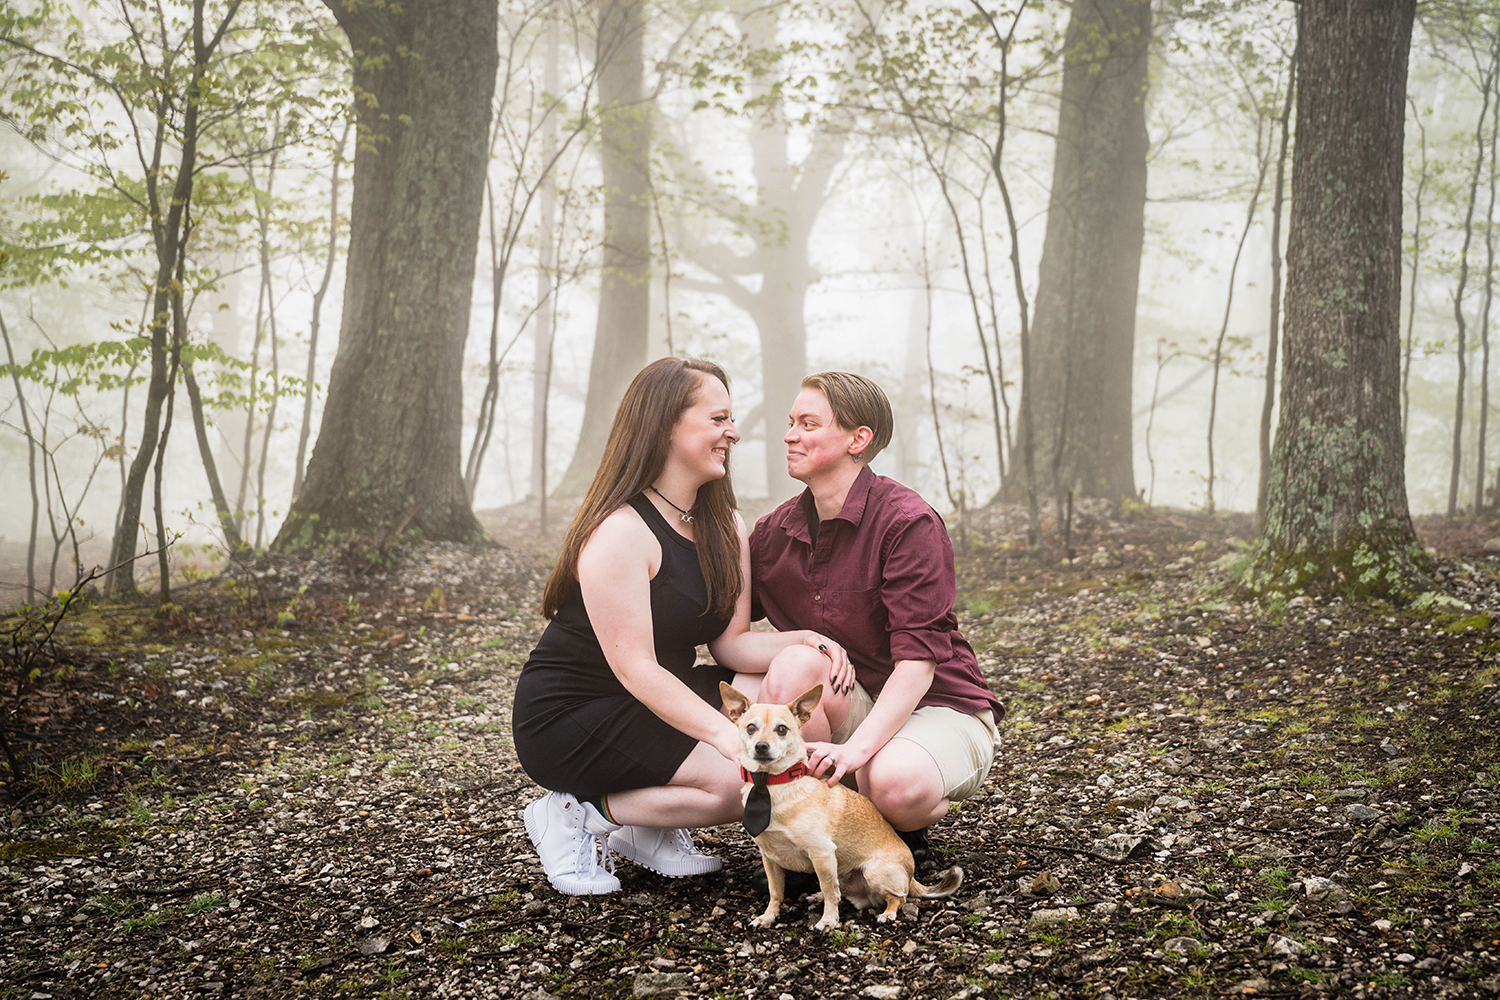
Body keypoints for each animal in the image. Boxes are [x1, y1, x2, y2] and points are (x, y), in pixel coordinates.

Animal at [723, 680, 960, 929]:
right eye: (750, 728)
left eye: (781, 729)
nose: (761, 746)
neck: (771, 785)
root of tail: (911, 874)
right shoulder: (770, 858)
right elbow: (776, 890)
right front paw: (768, 916)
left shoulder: (822, 853)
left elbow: (829, 890)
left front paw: (828, 920)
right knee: (842, 890)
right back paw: (816, 896)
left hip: (875, 871)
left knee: (898, 897)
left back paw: (887, 913)